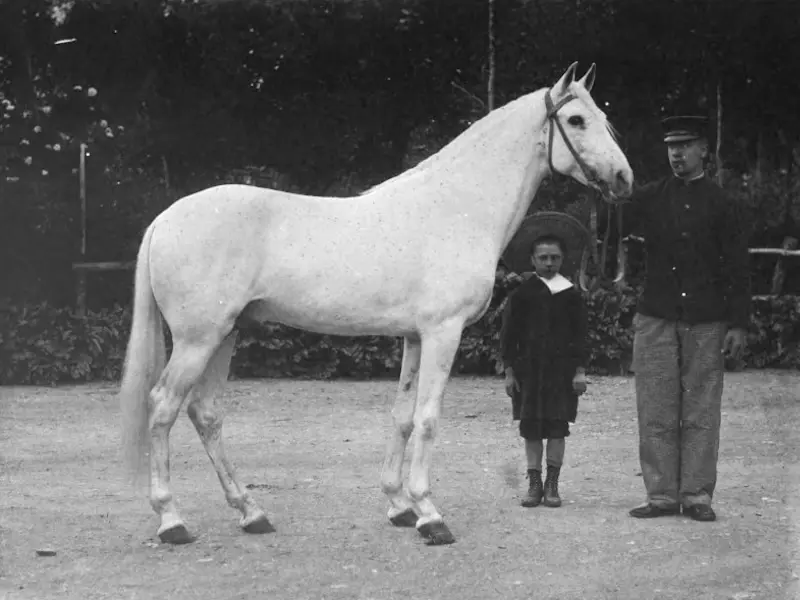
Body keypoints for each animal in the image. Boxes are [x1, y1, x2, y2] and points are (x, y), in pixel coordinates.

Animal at [119, 61, 633, 547]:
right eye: (576, 119)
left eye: (605, 118)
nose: (624, 178)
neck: (457, 207)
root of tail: (164, 219)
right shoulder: (443, 332)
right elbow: (428, 418)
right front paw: (431, 515)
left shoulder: (414, 336)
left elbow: (402, 417)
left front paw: (400, 506)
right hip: (197, 340)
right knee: (163, 407)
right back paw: (172, 520)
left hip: (226, 334)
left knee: (205, 413)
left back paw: (252, 513)